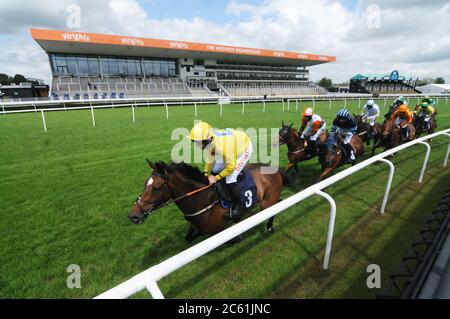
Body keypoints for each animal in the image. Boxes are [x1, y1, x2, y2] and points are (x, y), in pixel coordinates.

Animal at [128, 160, 286, 242]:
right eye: (145, 184)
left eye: (156, 188)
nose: (133, 216)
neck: (203, 198)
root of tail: (273, 168)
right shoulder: (197, 226)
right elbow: (189, 237)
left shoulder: (216, 229)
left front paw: (237, 234)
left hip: (267, 202)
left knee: (271, 211)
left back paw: (269, 227)